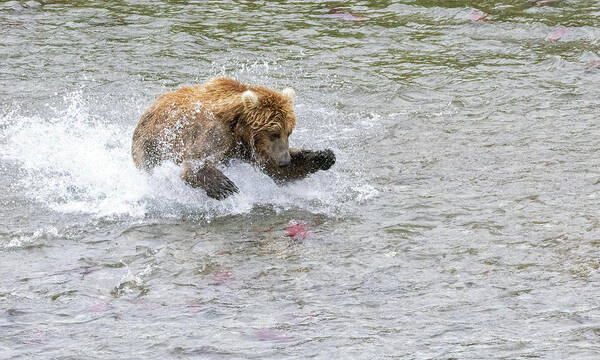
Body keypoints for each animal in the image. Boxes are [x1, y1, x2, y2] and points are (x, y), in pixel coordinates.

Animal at [132, 77, 336, 200]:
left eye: (289, 132)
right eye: (274, 133)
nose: (285, 160)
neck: (238, 128)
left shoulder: (249, 149)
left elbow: (275, 171)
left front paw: (324, 155)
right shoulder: (215, 133)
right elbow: (195, 163)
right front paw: (225, 186)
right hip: (152, 145)